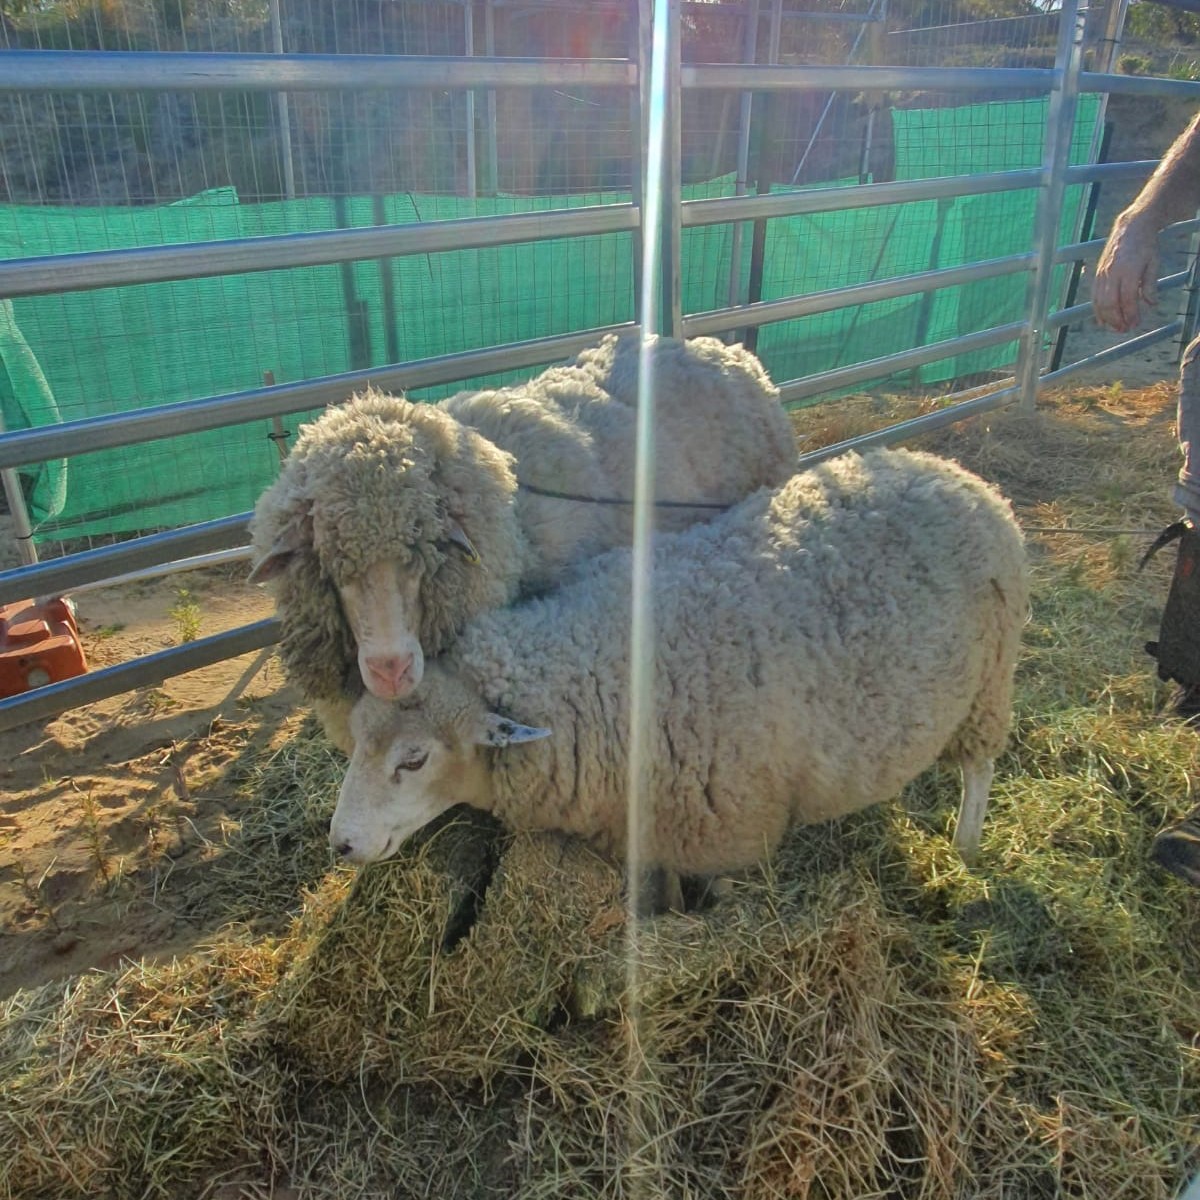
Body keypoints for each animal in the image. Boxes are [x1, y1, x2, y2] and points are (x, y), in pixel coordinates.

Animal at [329, 447, 1029, 876]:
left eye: (414, 760)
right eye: (358, 742)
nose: (340, 843)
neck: (598, 677)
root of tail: (957, 473)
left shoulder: (731, 834)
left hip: (992, 682)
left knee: (981, 767)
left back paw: (966, 846)